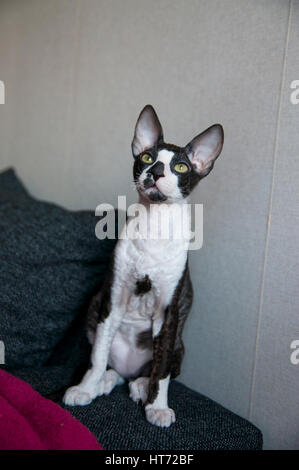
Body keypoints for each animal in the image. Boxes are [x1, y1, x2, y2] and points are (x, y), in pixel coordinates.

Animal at [63, 104, 224, 428]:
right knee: (110, 365)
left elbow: (160, 372)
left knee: (154, 370)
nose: (157, 171)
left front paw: (157, 408)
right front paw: (85, 388)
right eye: (148, 158)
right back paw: (102, 382)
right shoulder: (112, 298)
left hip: (179, 344)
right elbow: (97, 357)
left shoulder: (169, 311)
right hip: (94, 312)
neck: (154, 226)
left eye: (182, 167)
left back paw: (139, 387)